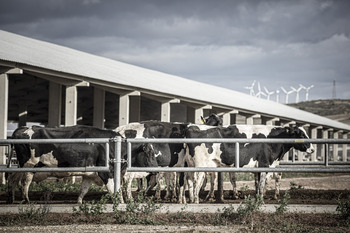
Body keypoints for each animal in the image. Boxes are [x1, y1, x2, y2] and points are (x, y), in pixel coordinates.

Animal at [7, 125, 157, 204]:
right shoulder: (106, 172)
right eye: (149, 153)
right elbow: (113, 189)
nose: (156, 169)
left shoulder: (90, 174)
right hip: (29, 165)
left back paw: (11, 199)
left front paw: (79, 202)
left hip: (20, 166)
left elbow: (84, 189)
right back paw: (26, 200)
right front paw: (119, 202)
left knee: (12, 179)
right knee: (24, 183)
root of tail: (22, 129)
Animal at [180, 124, 314, 203]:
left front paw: (258, 199)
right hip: (200, 165)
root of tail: (191, 128)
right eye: (300, 134)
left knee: (190, 181)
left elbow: (258, 184)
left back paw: (191, 200)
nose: (312, 149)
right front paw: (261, 201)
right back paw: (196, 201)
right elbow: (261, 184)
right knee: (196, 182)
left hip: (190, 164)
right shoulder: (264, 164)